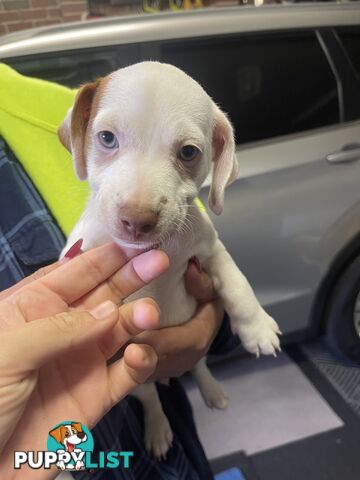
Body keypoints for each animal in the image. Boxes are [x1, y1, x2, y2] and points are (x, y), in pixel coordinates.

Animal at [58, 62, 282, 460]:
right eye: (107, 138)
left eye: (189, 152)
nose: (136, 219)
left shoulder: (210, 252)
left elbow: (238, 286)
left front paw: (257, 328)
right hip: (136, 379)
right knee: (150, 398)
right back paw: (159, 429)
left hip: (194, 354)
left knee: (199, 365)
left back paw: (211, 391)